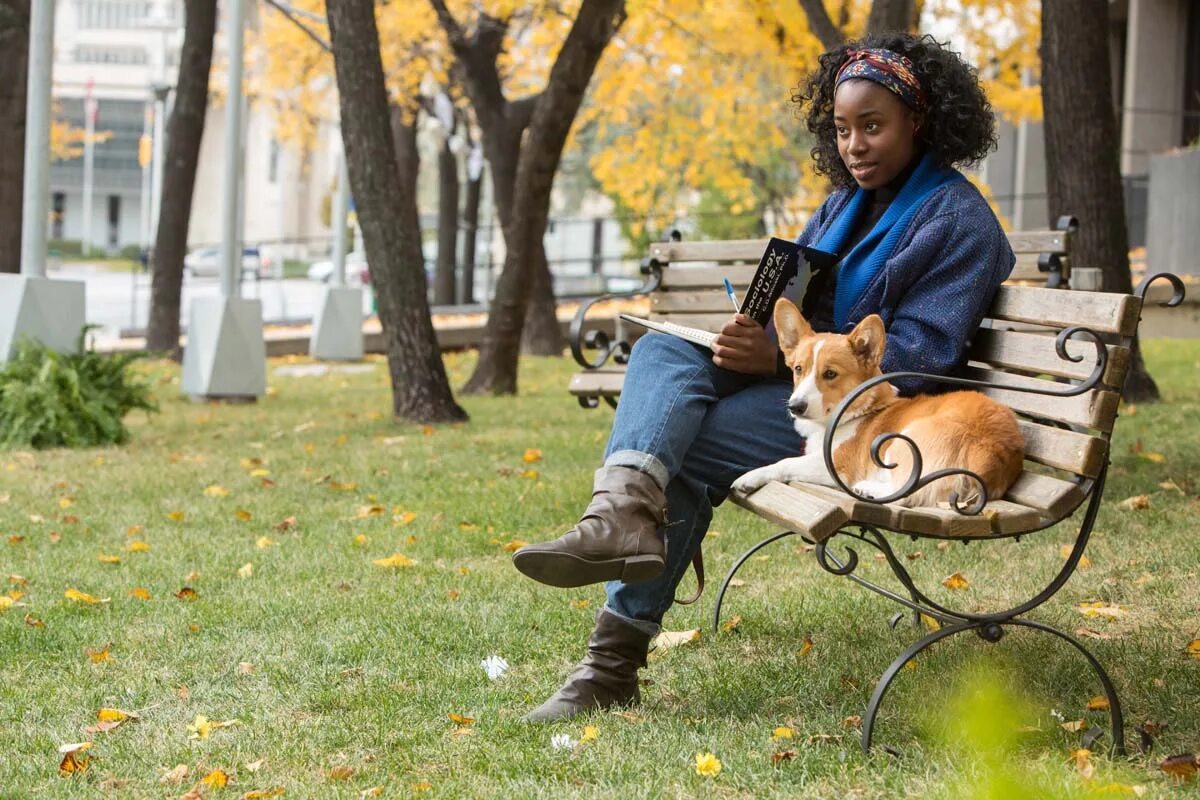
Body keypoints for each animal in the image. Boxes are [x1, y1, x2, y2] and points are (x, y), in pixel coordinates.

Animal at [729, 297, 1022, 510]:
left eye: (830, 374)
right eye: (799, 369)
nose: (795, 407)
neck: (857, 411)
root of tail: (990, 452)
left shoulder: (836, 466)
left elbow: (784, 462)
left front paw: (748, 477)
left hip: (903, 442)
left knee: (906, 493)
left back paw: (869, 489)